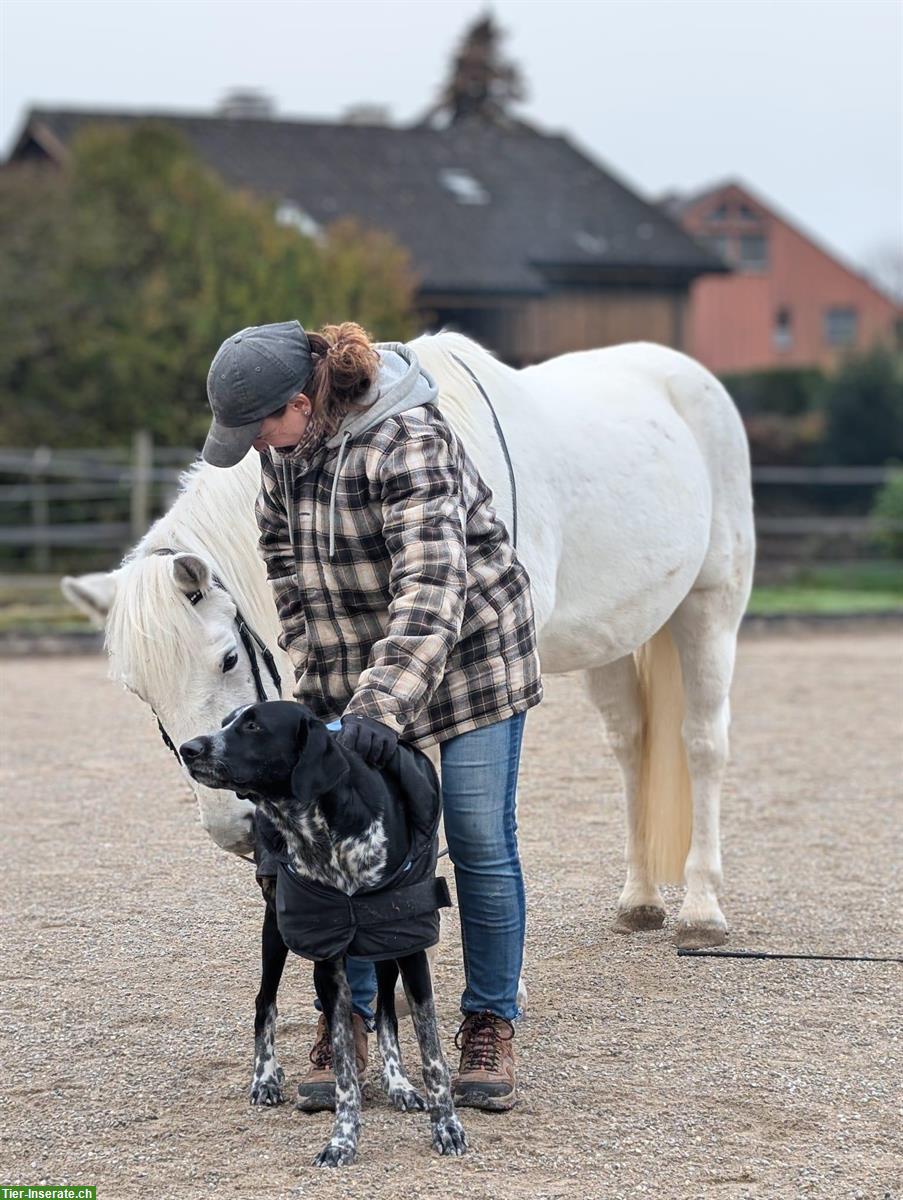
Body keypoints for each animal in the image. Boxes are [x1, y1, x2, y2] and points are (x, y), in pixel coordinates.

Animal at [63, 328, 754, 945]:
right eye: (141, 694)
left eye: (229, 658)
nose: (231, 826)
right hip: (613, 639)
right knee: (633, 747)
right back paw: (640, 902)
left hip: (710, 607)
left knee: (702, 745)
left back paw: (702, 911)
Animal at [177, 700, 465, 1166]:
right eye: (225, 723)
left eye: (253, 726)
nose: (189, 748)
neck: (320, 834)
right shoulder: (328, 959)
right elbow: (344, 1068)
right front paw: (342, 1141)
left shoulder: (408, 943)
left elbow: (432, 1053)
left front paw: (447, 1127)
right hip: (276, 931)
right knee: (264, 1002)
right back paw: (265, 1077)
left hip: (382, 947)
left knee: (386, 1013)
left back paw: (398, 1084)